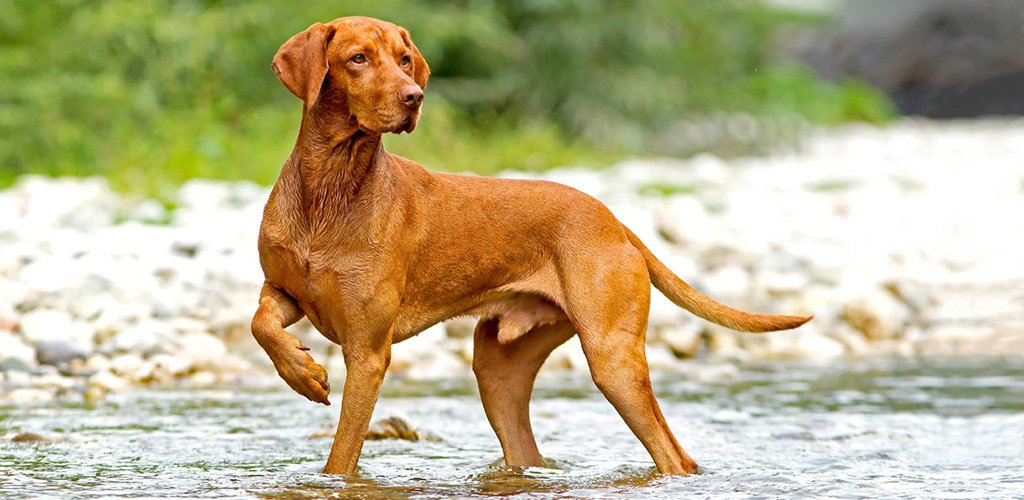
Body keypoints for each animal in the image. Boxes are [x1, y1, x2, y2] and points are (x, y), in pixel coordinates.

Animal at [251, 16, 811, 477]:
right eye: (358, 59)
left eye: (404, 59)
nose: (414, 97)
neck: (330, 190)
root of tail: (615, 222)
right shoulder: (286, 290)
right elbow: (260, 324)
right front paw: (302, 373)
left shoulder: (368, 351)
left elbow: (341, 457)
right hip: (498, 371)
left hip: (612, 359)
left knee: (676, 457)